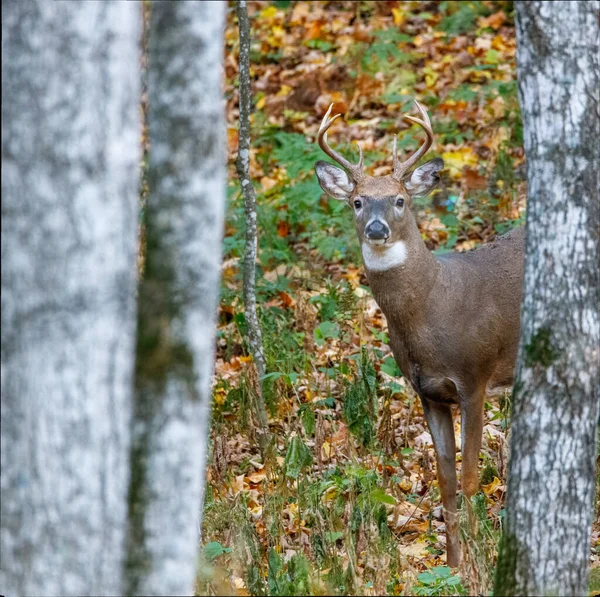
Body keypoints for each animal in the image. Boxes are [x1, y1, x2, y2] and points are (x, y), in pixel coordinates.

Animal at [314, 100, 524, 564]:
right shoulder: (428, 391)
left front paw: (476, 564)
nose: (376, 229)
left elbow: (469, 477)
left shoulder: (475, 377)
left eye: (400, 200)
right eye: (357, 201)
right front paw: (452, 564)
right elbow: (445, 483)